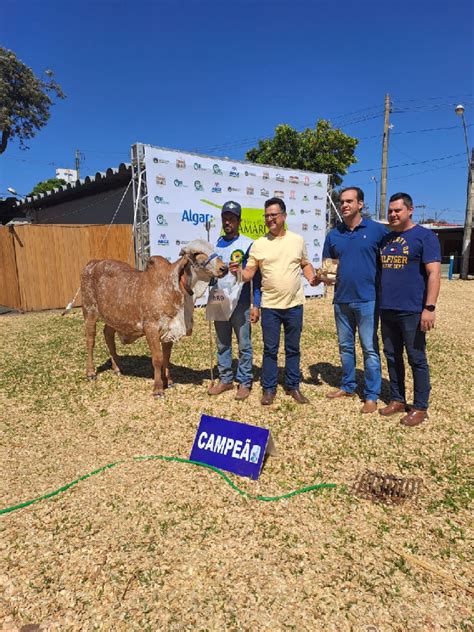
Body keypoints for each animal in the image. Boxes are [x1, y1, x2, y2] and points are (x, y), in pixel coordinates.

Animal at [80, 241, 228, 396]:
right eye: (197, 253)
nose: (224, 268)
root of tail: (92, 263)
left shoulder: (169, 330)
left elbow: (166, 357)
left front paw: (168, 381)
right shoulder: (151, 329)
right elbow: (157, 359)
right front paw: (158, 388)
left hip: (113, 318)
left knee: (108, 335)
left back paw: (117, 368)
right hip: (89, 311)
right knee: (90, 340)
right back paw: (90, 372)